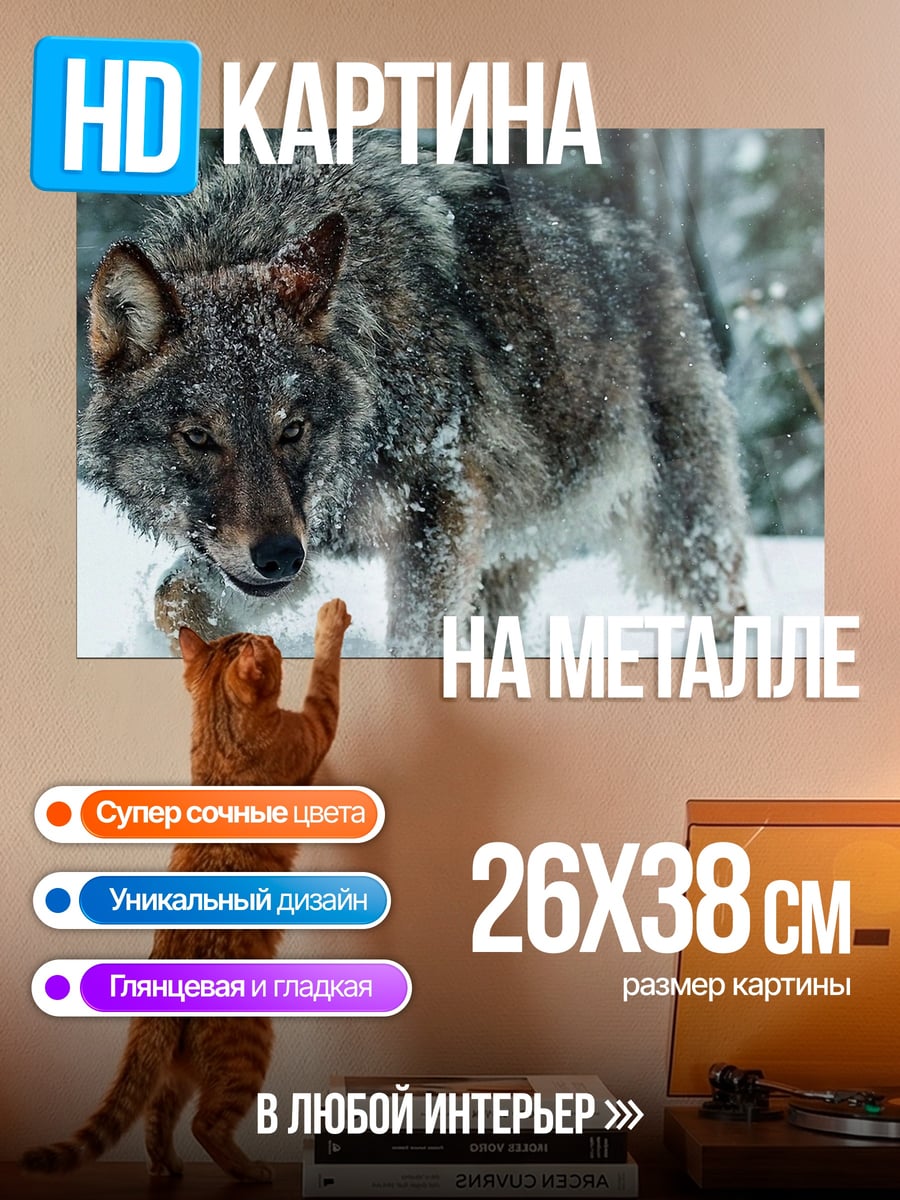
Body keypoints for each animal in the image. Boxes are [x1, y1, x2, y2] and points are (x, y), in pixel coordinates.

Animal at [80, 134, 748, 655]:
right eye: (198, 437)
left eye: (292, 429)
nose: (279, 558)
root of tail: (653, 246)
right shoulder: (299, 538)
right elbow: (173, 599)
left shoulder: (437, 503)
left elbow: (414, 638)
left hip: (676, 533)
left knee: (728, 606)